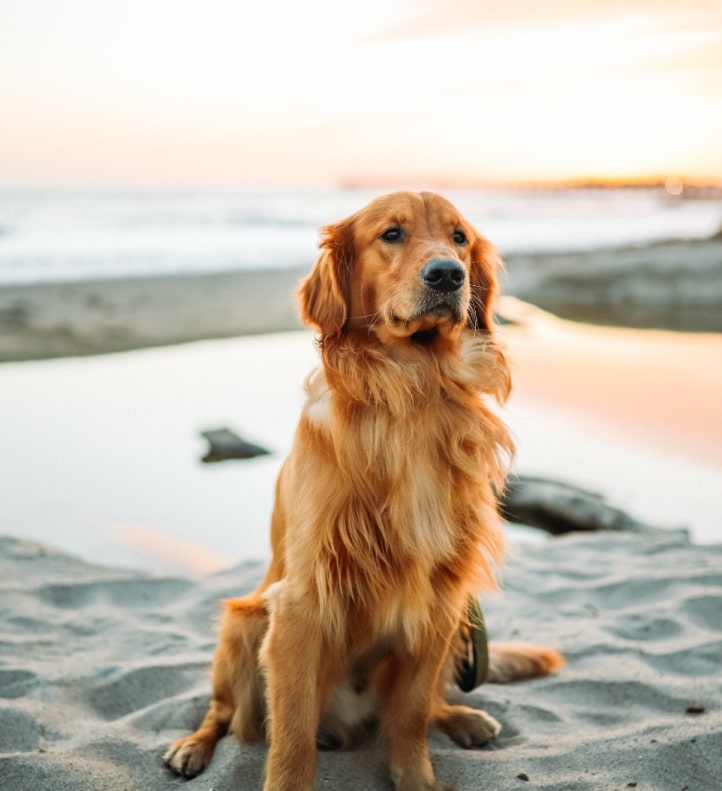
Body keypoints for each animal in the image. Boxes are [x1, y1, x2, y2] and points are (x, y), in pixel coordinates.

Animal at [163, 193, 564, 791]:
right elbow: (291, 739)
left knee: (425, 704)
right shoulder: (302, 603)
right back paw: (192, 747)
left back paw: (463, 717)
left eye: (460, 238)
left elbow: (411, 714)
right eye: (391, 234)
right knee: (223, 713)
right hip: (243, 624)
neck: (415, 390)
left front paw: (417, 778)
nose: (448, 274)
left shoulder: (441, 596)